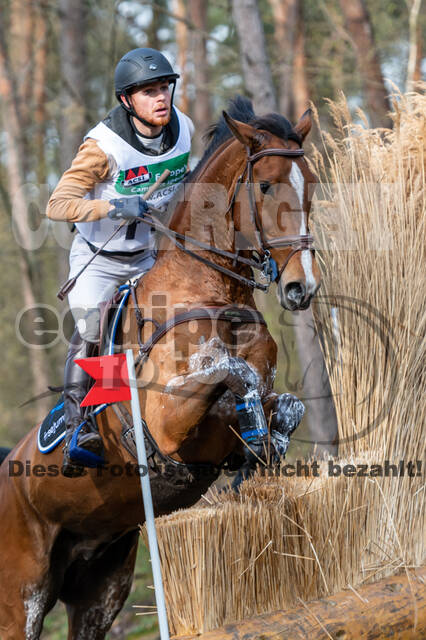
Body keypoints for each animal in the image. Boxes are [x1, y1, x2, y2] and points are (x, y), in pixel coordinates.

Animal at [0, 97, 320, 636]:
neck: (210, 291)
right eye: (266, 185)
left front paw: (262, 452)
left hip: (102, 587)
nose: (303, 288)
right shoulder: (168, 422)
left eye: (311, 184)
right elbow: (234, 372)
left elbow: (287, 404)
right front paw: (257, 435)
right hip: (20, 598)